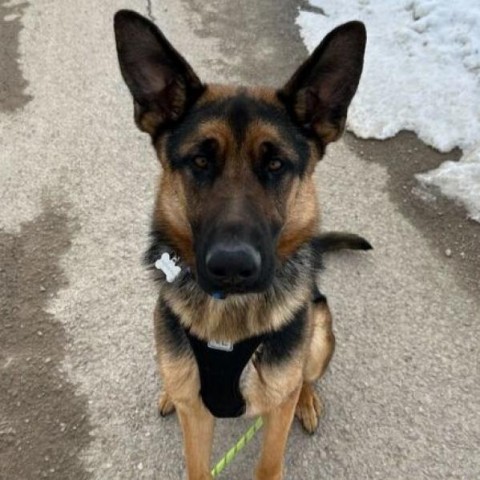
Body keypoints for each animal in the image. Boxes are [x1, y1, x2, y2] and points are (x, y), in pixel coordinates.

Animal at [114, 11, 370, 480]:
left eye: (276, 164)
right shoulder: (196, 417)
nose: (232, 266)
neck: (227, 326)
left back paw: (306, 397)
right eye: (200, 161)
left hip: (320, 327)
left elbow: (270, 460)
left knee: (304, 377)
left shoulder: (276, 412)